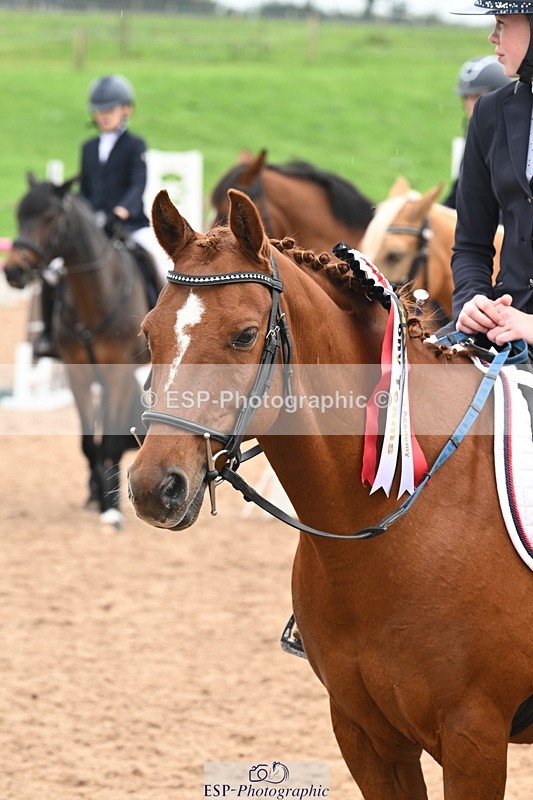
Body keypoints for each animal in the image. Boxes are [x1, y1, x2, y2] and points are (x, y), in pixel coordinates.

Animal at [4, 175, 157, 529]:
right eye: (19, 214)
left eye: (50, 217)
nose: (14, 272)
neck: (95, 294)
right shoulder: (78, 372)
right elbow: (89, 443)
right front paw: (99, 496)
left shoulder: (118, 372)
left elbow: (110, 440)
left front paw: (111, 509)